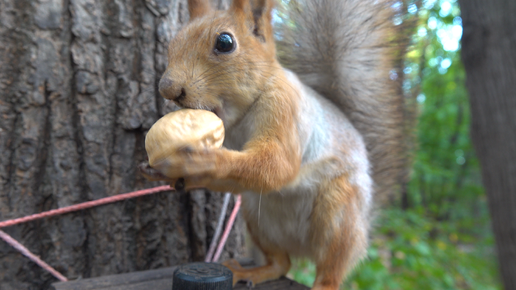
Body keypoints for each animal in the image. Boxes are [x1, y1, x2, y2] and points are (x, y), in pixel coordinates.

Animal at [144, 0, 408, 288]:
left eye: (225, 42)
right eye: (173, 43)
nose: (168, 89)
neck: (241, 115)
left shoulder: (284, 107)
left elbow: (277, 165)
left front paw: (197, 161)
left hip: (339, 211)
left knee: (331, 270)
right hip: (257, 218)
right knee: (282, 263)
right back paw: (251, 273)